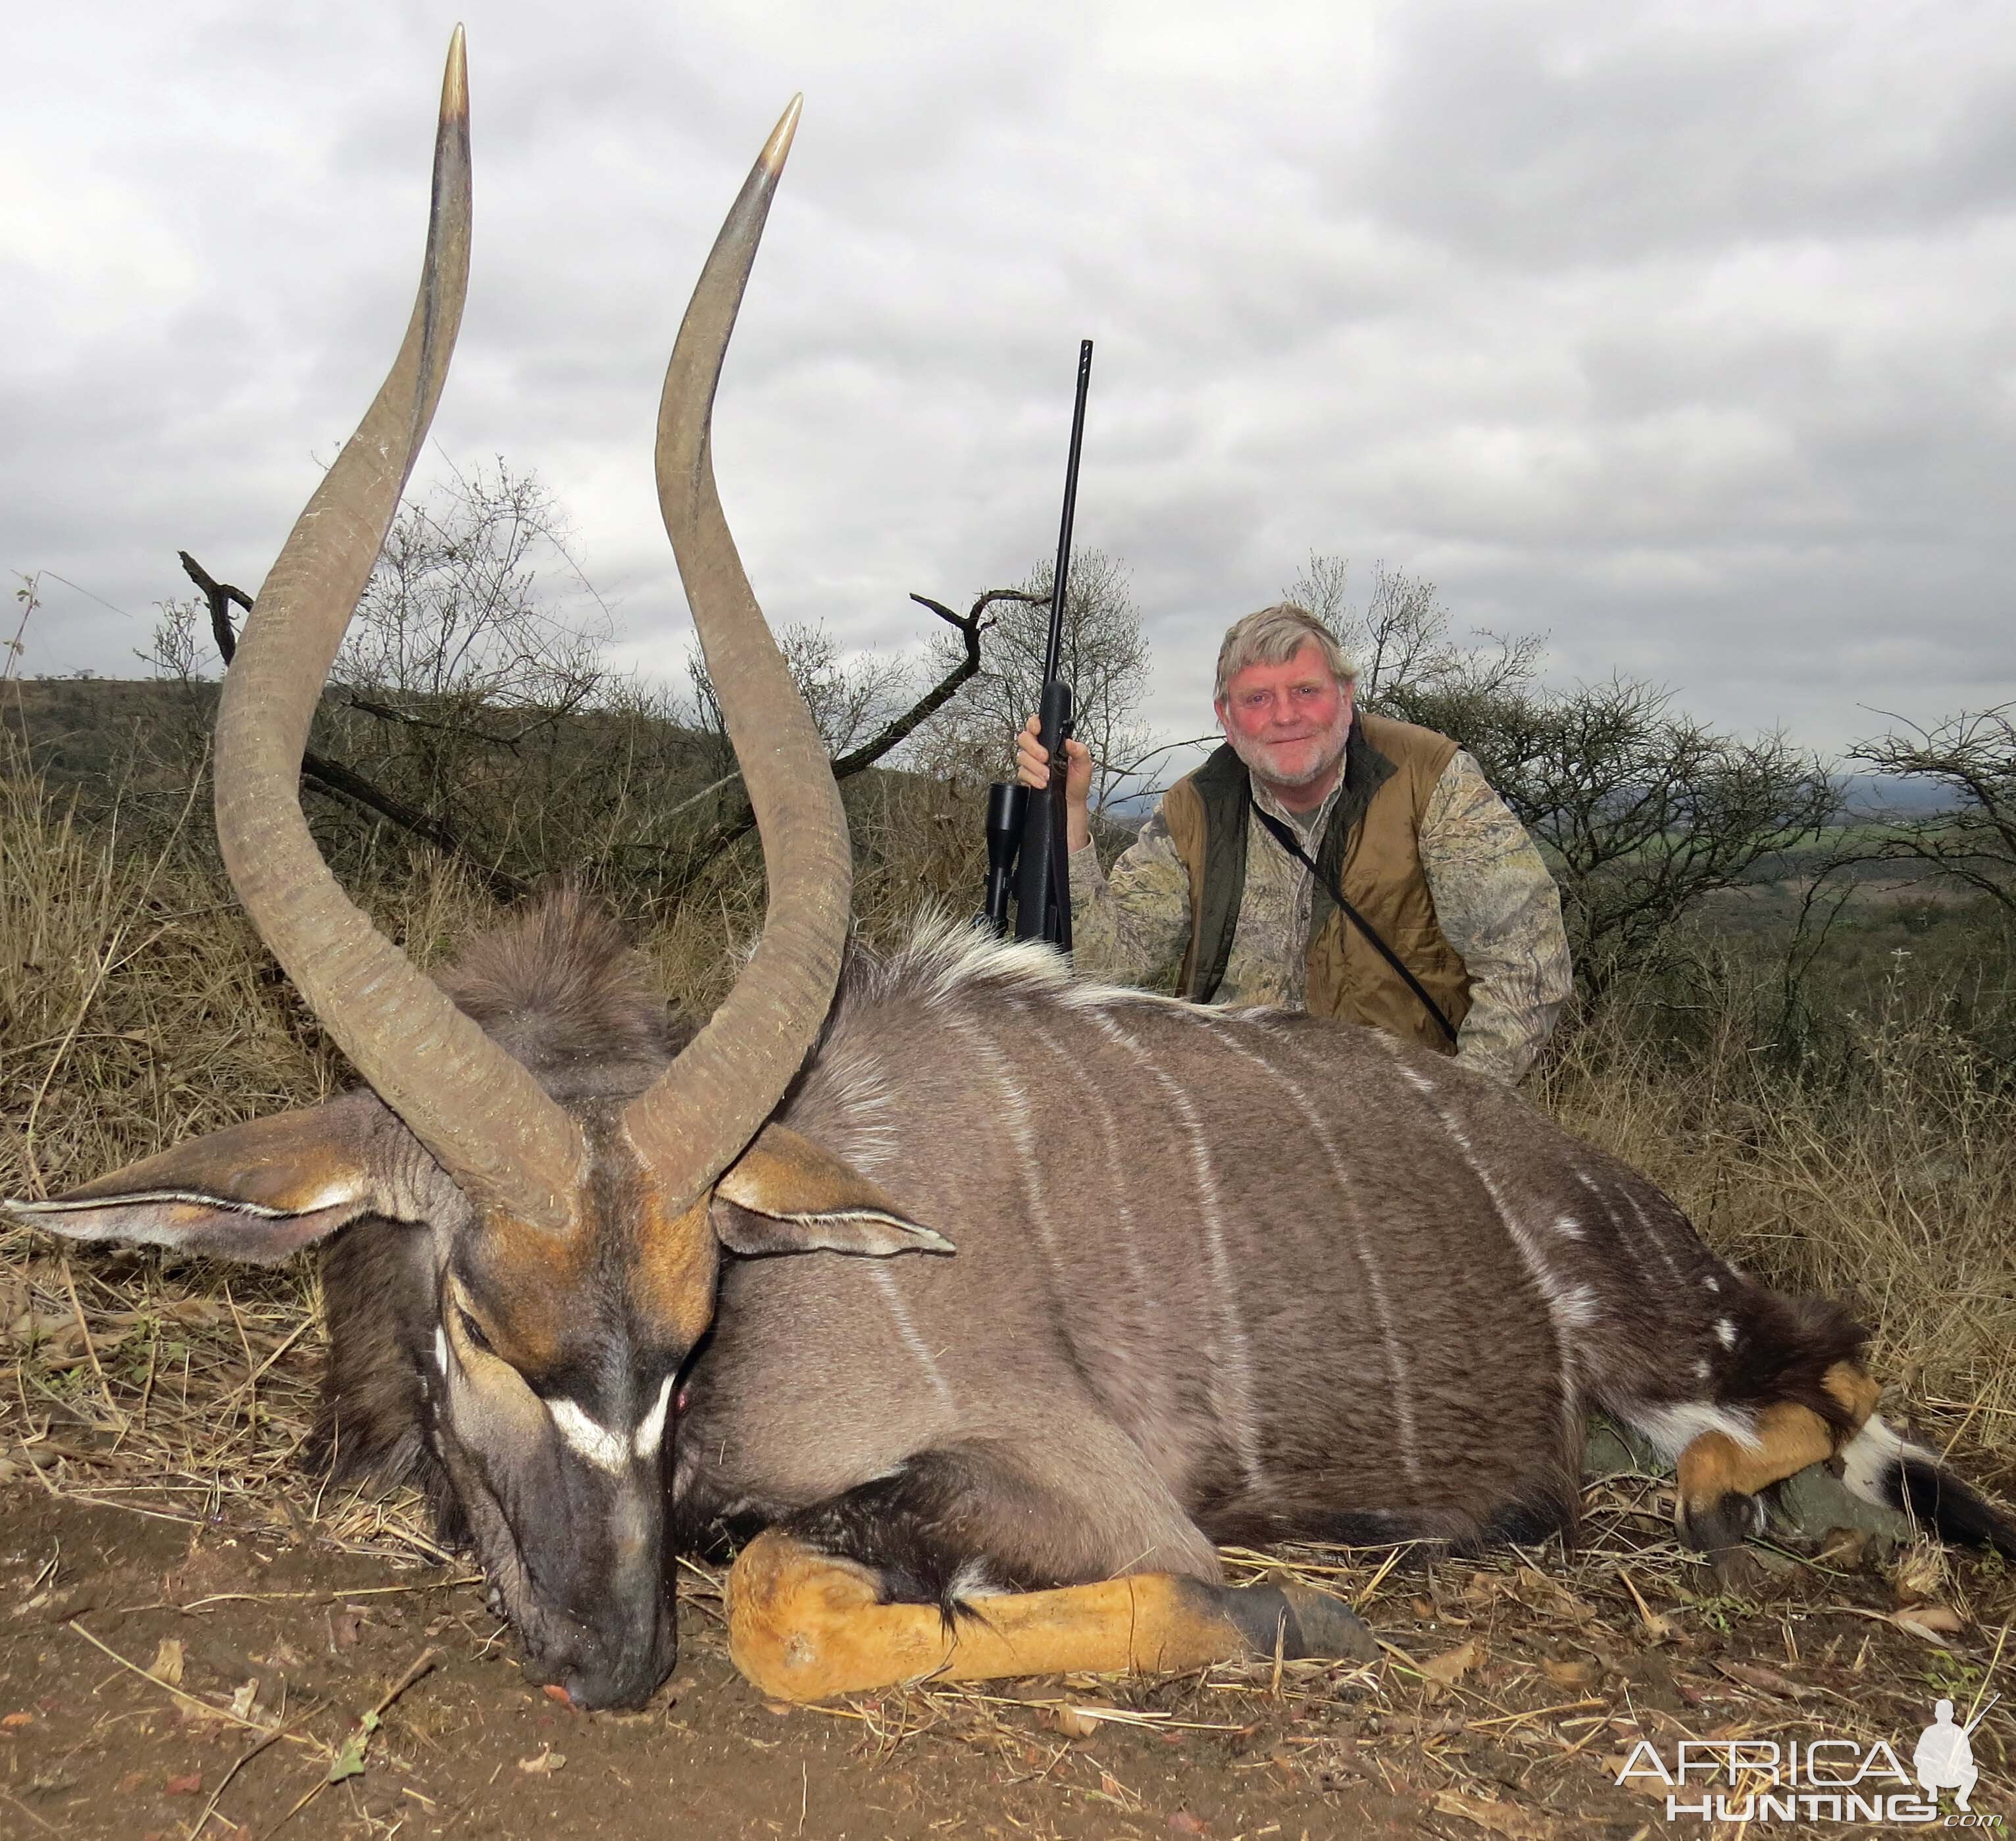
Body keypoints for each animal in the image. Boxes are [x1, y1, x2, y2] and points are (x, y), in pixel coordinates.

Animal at [7, 36, 2007, 1718]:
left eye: (696, 1332)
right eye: (479, 1329)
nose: (614, 1660)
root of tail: (1584, 1174)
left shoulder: (1073, 1482)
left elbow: (815, 1588)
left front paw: (1298, 1609)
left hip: (1692, 1340)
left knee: (1820, 1389)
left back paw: (1701, 1501)